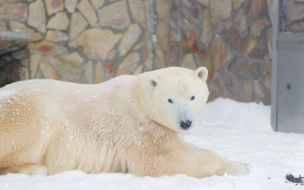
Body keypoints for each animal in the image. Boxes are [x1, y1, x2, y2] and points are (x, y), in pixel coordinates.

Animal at [0, 67, 248, 178]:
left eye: (193, 97)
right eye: (170, 99)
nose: (185, 123)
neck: (139, 98)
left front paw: (240, 162)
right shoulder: (138, 130)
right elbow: (160, 160)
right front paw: (239, 168)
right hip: (27, 110)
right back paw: (35, 168)